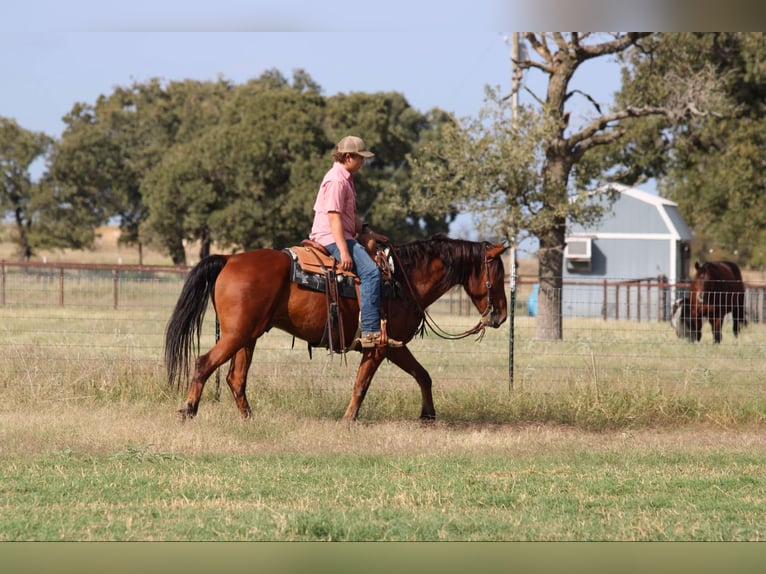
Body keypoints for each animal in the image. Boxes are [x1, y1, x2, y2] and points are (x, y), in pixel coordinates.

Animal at [164, 234, 510, 421]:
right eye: (498, 274)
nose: (502, 316)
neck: (403, 279)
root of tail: (229, 259)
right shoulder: (380, 346)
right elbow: (361, 384)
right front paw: (348, 419)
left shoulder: (394, 346)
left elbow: (422, 375)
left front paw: (428, 414)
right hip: (237, 335)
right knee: (204, 363)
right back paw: (188, 410)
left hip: (248, 337)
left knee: (236, 379)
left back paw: (249, 418)